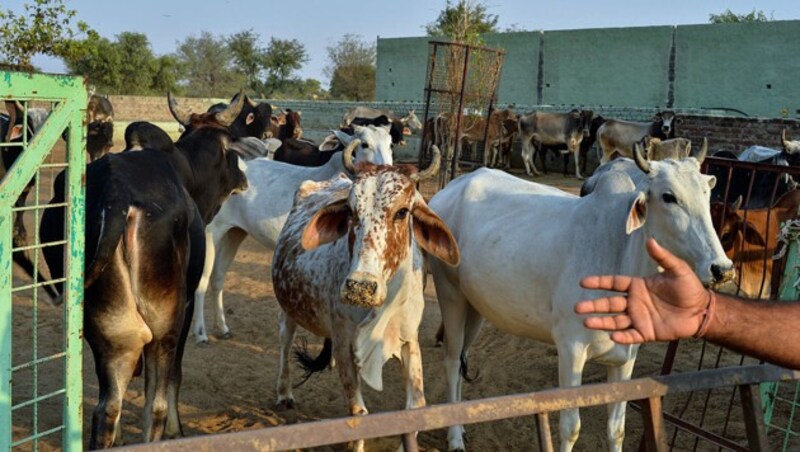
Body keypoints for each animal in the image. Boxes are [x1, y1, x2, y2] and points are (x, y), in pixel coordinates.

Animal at [37, 97, 248, 446]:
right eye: (231, 146)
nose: (243, 179)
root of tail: (116, 198)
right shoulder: (186, 308)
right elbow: (172, 378)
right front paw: (177, 429)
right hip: (164, 327)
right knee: (156, 405)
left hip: (111, 332)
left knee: (107, 408)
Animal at [191, 124, 396, 342]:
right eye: (364, 144)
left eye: (390, 143)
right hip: (211, 232)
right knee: (202, 281)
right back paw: (201, 333)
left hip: (234, 233)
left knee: (218, 277)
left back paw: (222, 327)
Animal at [268, 148, 456, 452]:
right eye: (350, 211)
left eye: (402, 212)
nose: (360, 286)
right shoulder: (345, 342)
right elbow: (359, 413)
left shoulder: (409, 338)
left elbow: (416, 406)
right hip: (289, 305)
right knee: (285, 338)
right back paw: (284, 392)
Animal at [428, 147, 736, 450]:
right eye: (668, 196)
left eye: (706, 193)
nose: (721, 268)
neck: (620, 254)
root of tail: (451, 189)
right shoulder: (571, 349)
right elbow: (570, 428)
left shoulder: (626, 357)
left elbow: (616, 429)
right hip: (451, 295)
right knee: (452, 360)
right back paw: (455, 437)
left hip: (475, 307)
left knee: (463, 356)